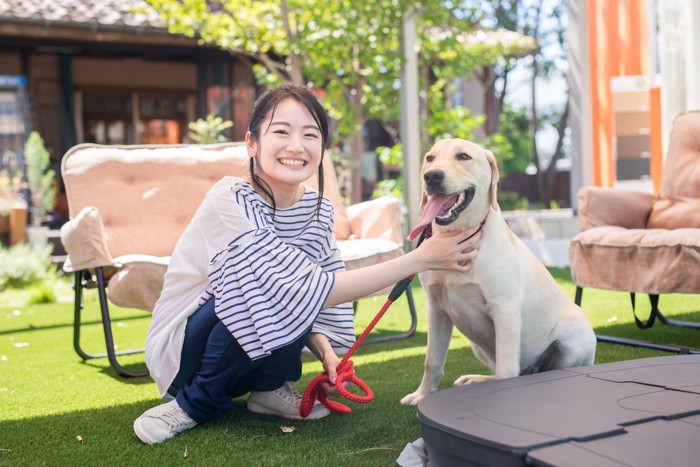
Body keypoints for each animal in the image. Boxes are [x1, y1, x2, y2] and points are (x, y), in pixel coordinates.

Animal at [402, 138, 592, 406]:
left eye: (463, 156)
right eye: (430, 158)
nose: (432, 176)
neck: (460, 238)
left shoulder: (505, 309)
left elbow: (505, 369)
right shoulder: (437, 310)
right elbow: (432, 361)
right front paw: (422, 395)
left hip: (573, 337)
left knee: (532, 373)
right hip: (477, 345)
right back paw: (475, 380)